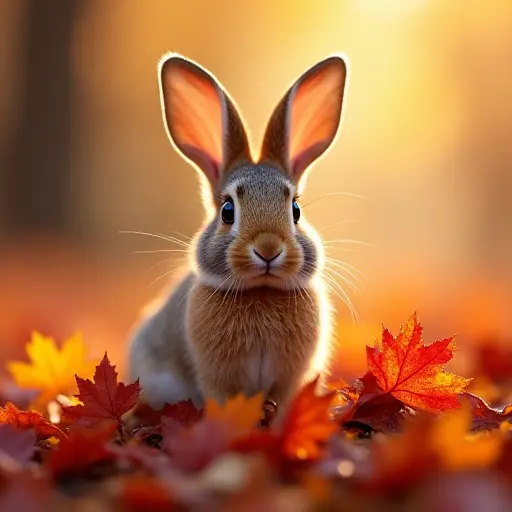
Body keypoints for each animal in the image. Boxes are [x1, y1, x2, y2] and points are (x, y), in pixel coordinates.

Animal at [127, 52, 348, 414]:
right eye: (228, 211)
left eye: (296, 210)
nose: (268, 249)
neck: (261, 291)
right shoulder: (217, 379)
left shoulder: (289, 381)